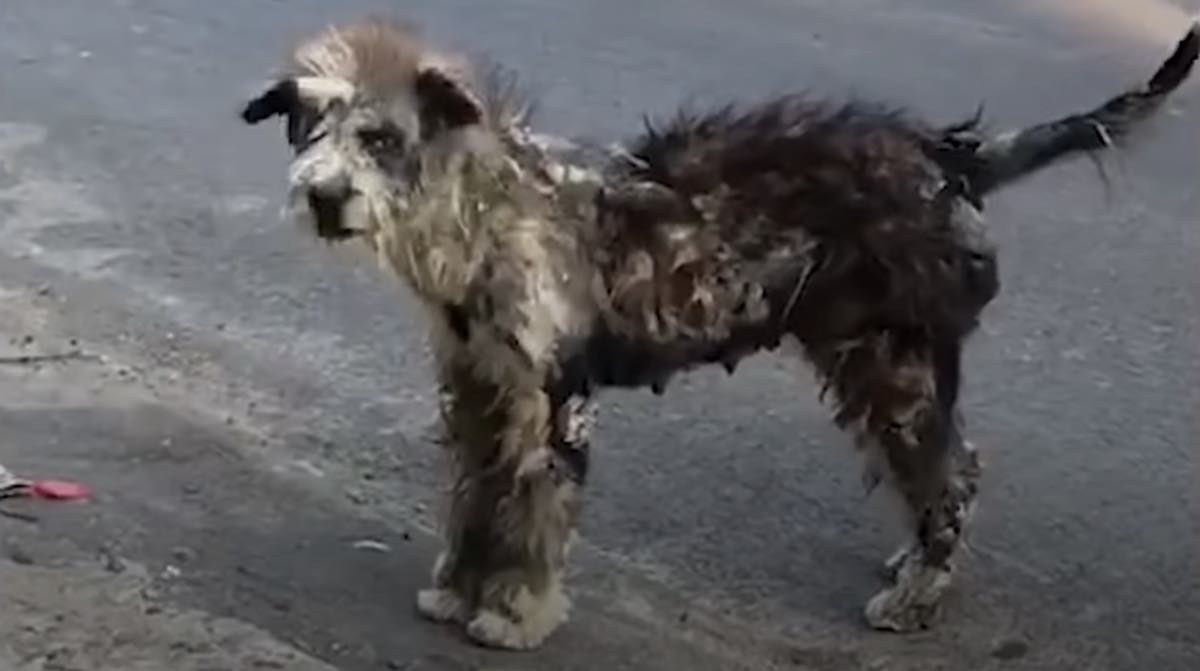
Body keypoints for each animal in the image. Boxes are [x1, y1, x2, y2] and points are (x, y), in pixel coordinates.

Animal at [241, 18, 1190, 652]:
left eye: (379, 137)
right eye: (311, 126)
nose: (323, 195)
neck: (485, 212)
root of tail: (946, 158)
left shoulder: (556, 403)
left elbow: (536, 515)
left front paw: (515, 612)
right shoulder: (481, 393)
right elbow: (478, 501)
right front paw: (458, 590)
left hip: (895, 366)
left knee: (956, 472)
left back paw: (921, 590)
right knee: (945, 471)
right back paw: (913, 561)